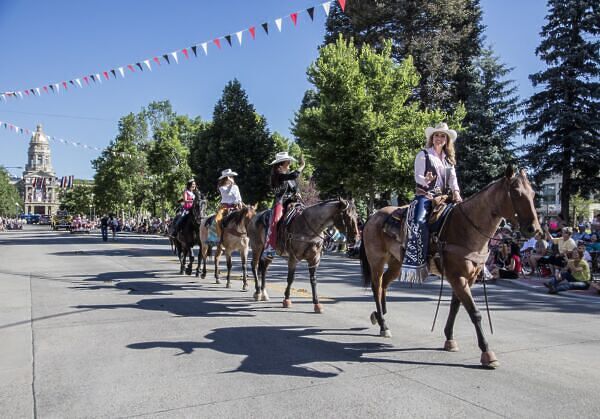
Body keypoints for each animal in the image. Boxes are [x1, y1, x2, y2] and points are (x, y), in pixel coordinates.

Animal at [358, 166, 540, 370]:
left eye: (533, 193)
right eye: (516, 193)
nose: (534, 229)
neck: (467, 228)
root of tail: (373, 216)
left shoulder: (467, 278)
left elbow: (455, 307)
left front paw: (449, 339)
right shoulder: (457, 277)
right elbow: (474, 313)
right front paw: (487, 352)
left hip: (397, 263)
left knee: (384, 286)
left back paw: (379, 316)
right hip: (377, 260)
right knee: (376, 286)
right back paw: (383, 325)